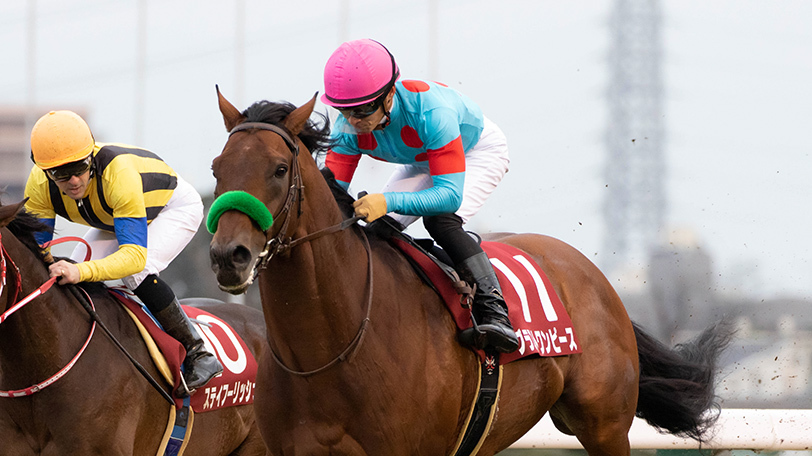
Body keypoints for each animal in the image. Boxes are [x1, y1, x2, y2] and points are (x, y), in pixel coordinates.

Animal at [207, 88, 734, 456]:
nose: (228, 255)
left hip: (605, 425)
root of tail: (594, 274)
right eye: (217, 168)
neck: (328, 349)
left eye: (279, 169)